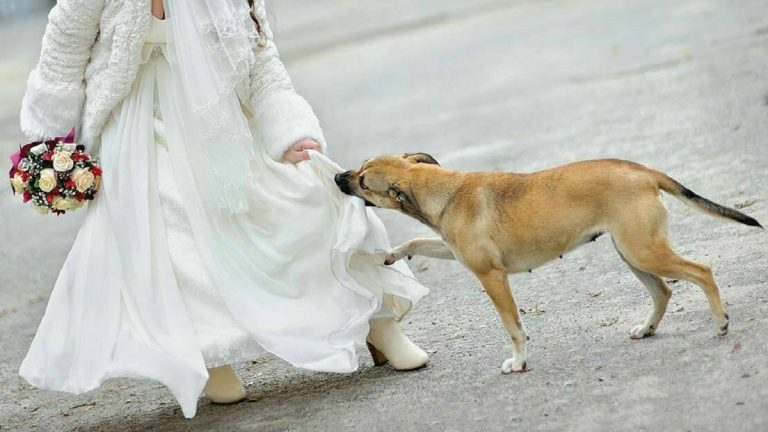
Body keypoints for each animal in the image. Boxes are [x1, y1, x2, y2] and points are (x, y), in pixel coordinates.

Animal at [336, 154, 760, 372]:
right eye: (359, 168)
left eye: (364, 181)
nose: (339, 176)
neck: (443, 190)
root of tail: (643, 171)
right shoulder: (454, 250)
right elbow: (419, 242)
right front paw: (388, 255)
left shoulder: (492, 278)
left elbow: (514, 328)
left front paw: (519, 361)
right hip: (632, 253)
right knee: (662, 292)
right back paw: (647, 329)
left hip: (644, 251)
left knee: (701, 271)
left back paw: (721, 322)